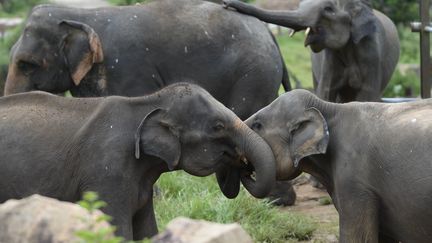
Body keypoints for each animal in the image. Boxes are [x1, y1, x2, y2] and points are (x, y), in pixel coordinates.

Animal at [0, 83, 276, 241]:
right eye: (217, 127)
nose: (245, 166)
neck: (146, 102)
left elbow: (147, 232)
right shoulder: (106, 174)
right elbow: (117, 231)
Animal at [224, 0, 400, 101]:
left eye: (328, 8)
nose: (226, 4)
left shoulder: (371, 54)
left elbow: (367, 96)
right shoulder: (329, 61)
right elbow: (326, 93)